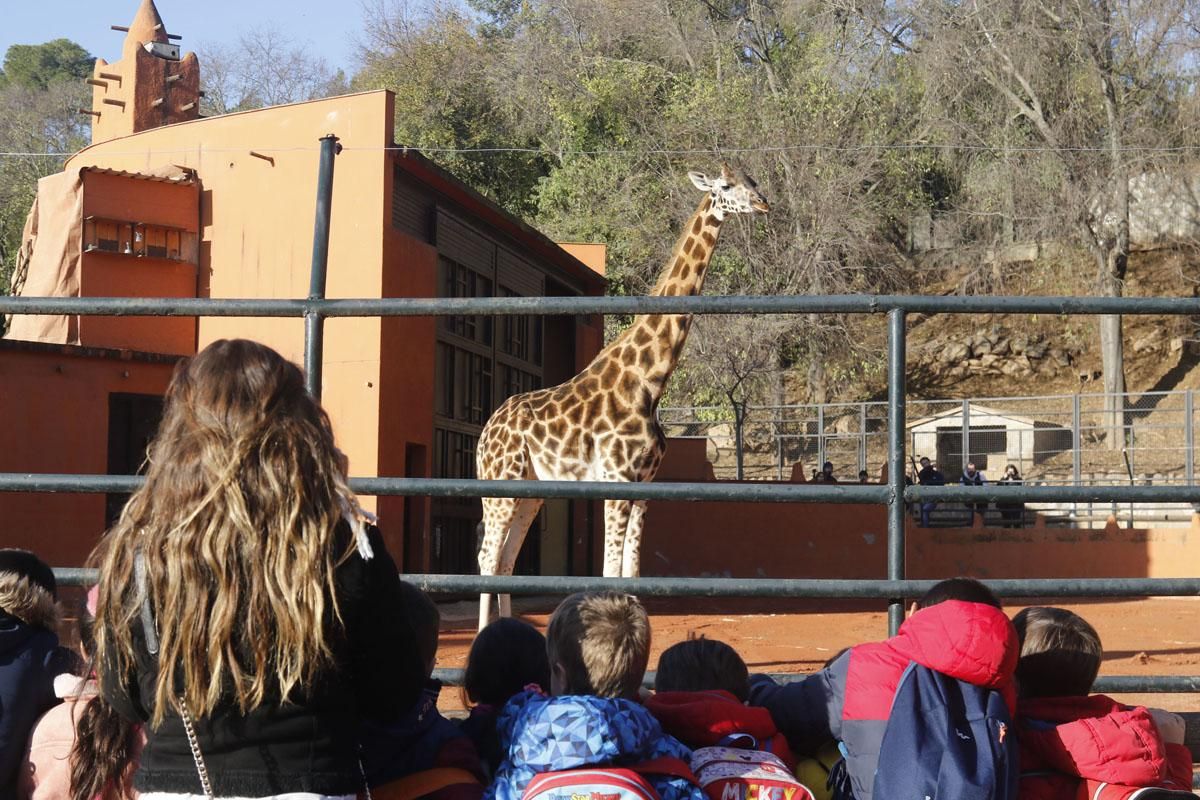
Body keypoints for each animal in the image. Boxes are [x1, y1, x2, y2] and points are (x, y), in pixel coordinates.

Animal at [470, 165, 763, 628]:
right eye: (726, 186)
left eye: (753, 181)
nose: (763, 204)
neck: (649, 382)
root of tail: (485, 432)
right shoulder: (616, 477)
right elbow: (610, 571)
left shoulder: (645, 485)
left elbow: (632, 572)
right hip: (500, 482)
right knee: (487, 556)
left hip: (532, 489)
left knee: (505, 560)